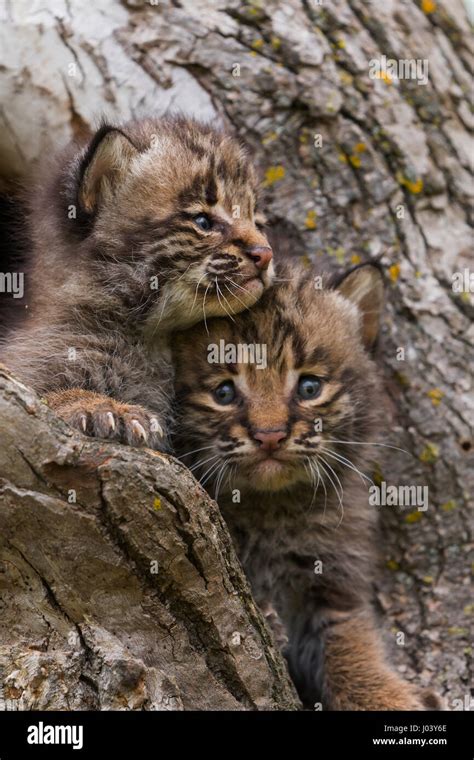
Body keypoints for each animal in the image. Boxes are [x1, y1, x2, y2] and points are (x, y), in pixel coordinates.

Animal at [0, 116, 272, 448]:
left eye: (258, 223)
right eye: (203, 222)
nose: (266, 254)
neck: (149, 336)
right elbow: (47, 394)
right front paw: (103, 406)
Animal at [173, 264, 440, 708]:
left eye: (310, 387)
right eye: (223, 392)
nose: (269, 436)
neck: (269, 505)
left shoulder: (332, 580)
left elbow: (351, 643)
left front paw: (385, 696)